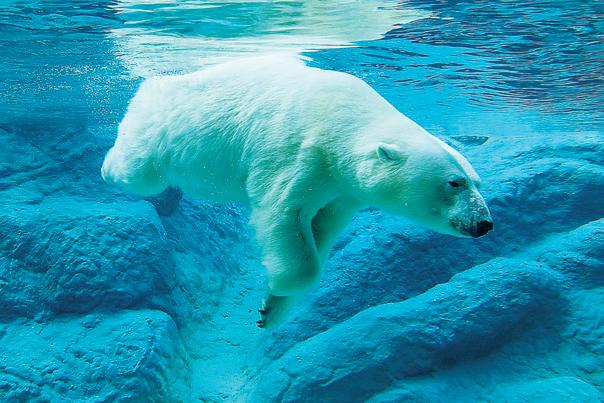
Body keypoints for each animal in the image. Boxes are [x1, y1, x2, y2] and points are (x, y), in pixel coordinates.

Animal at [101, 55, 494, 330]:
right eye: (454, 182)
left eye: (477, 182)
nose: (485, 224)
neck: (346, 118)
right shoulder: (301, 148)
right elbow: (283, 212)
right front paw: (282, 283)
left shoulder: (343, 190)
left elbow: (322, 226)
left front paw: (270, 307)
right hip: (160, 129)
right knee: (139, 170)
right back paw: (107, 167)